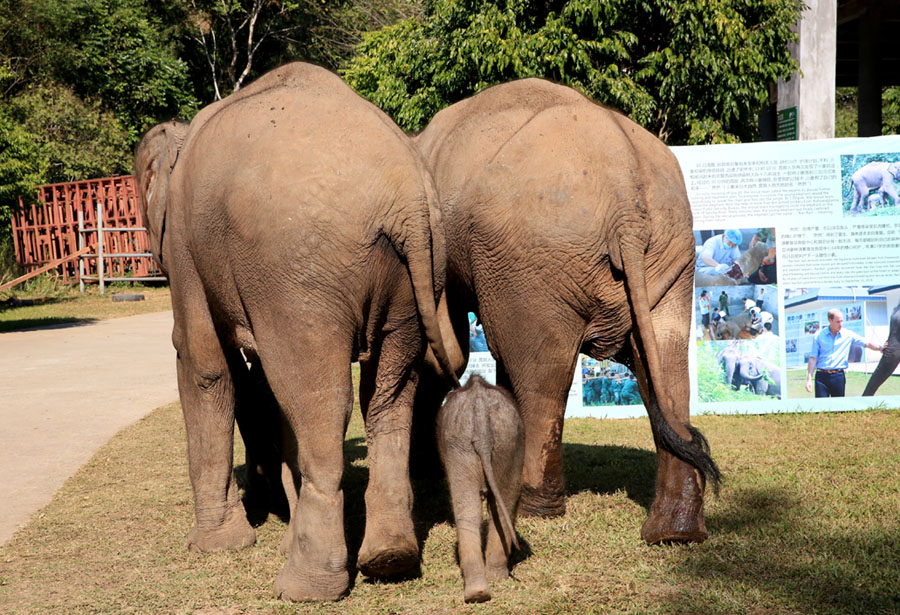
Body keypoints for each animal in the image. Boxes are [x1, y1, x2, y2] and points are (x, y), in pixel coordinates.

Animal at [132, 62, 464, 600]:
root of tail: (407, 197)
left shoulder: (185, 245)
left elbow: (203, 364)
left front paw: (215, 546)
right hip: (419, 270)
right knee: (386, 396)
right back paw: (390, 560)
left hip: (300, 275)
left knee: (320, 399)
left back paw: (305, 586)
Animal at [414, 77, 716, 544]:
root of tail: (626, 201)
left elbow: (445, 347)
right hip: (672, 251)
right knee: (666, 368)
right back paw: (674, 533)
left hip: (533, 261)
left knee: (542, 374)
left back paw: (532, 506)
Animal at [438, 372, 528, 604]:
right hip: (499, 440)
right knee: (482, 506)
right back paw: (484, 588)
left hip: (477, 443)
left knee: (472, 507)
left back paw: (482, 589)